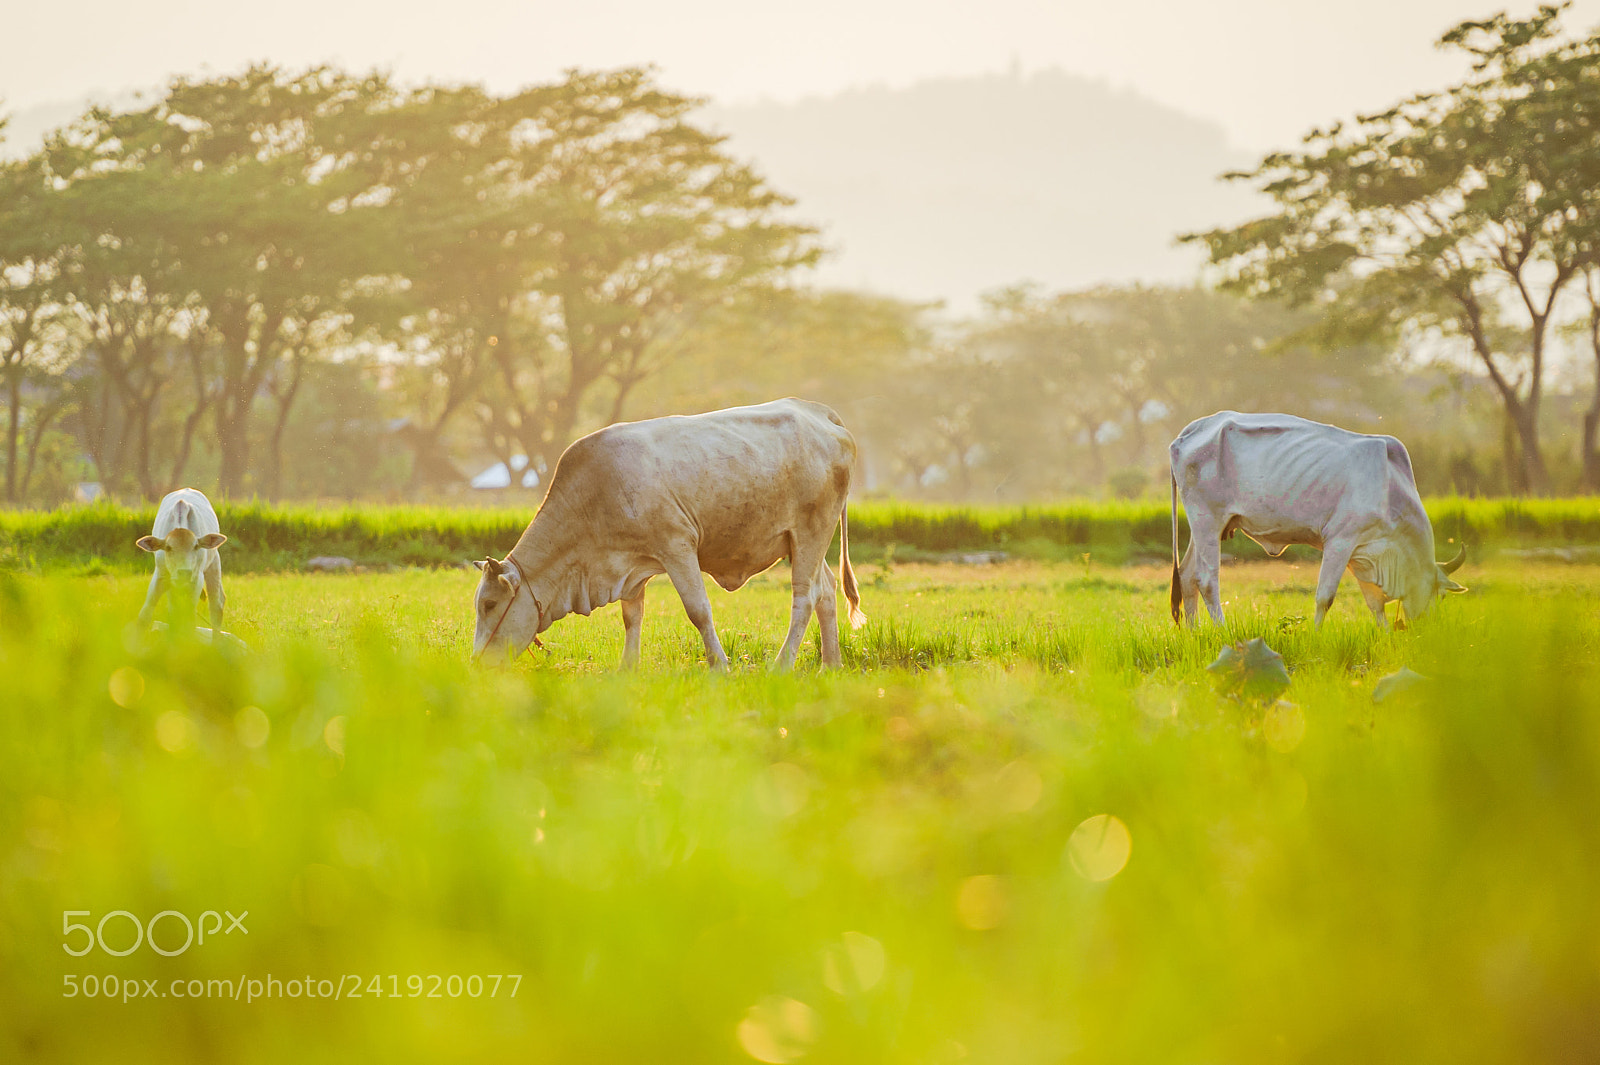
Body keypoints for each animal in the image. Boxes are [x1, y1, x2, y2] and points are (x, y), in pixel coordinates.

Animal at [136, 488, 229, 635]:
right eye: (168, 547)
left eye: (196, 546)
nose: (184, 572)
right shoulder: (162, 576)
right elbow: (146, 614)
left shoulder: (196, 580)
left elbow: (189, 619)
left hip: (214, 563)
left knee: (217, 605)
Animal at [471, 398, 867, 669]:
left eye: (489, 604)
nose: (476, 663)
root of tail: (816, 411)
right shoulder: (630, 565)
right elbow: (632, 617)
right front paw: (627, 668)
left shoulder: (676, 547)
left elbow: (698, 610)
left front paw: (719, 666)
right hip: (802, 542)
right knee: (826, 590)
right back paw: (831, 664)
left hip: (812, 531)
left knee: (805, 596)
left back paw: (782, 666)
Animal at [1169, 412, 1465, 629]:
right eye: (1441, 594)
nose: (1426, 629)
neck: (1391, 491)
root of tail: (1192, 430)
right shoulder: (1340, 541)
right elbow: (1325, 597)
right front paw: (1315, 635)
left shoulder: (1363, 552)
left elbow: (1375, 604)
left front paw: (1385, 636)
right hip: (1207, 520)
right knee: (1207, 579)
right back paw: (1223, 631)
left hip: (1206, 526)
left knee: (1187, 575)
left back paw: (1195, 634)